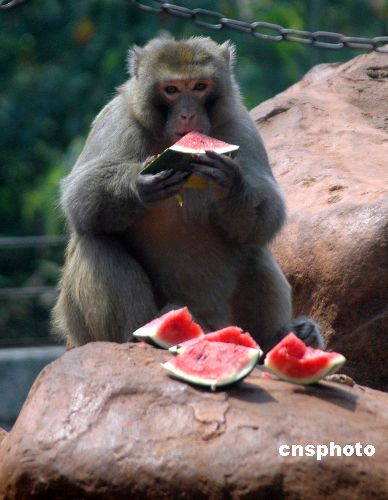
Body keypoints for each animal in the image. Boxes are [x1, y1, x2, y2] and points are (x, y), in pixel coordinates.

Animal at [52, 35, 324, 352]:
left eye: (199, 87)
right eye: (171, 90)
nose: (187, 114)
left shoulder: (240, 125)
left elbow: (267, 214)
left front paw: (233, 183)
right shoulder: (117, 120)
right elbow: (78, 196)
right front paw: (138, 184)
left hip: (222, 318)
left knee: (252, 248)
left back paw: (276, 338)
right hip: (84, 330)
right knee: (96, 241)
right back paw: (137, 335)